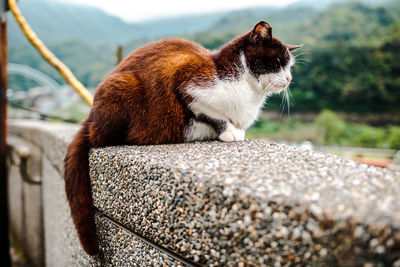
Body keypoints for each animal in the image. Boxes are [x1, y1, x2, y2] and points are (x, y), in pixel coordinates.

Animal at [65, 20, 304, 255]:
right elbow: (214, 115)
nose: (289, 78)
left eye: (290, 66)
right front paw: (230, 131)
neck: (249, 90)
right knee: (100, 137)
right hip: (122, 87)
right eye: (277, 62)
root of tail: (90, 117)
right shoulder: (189, 86)